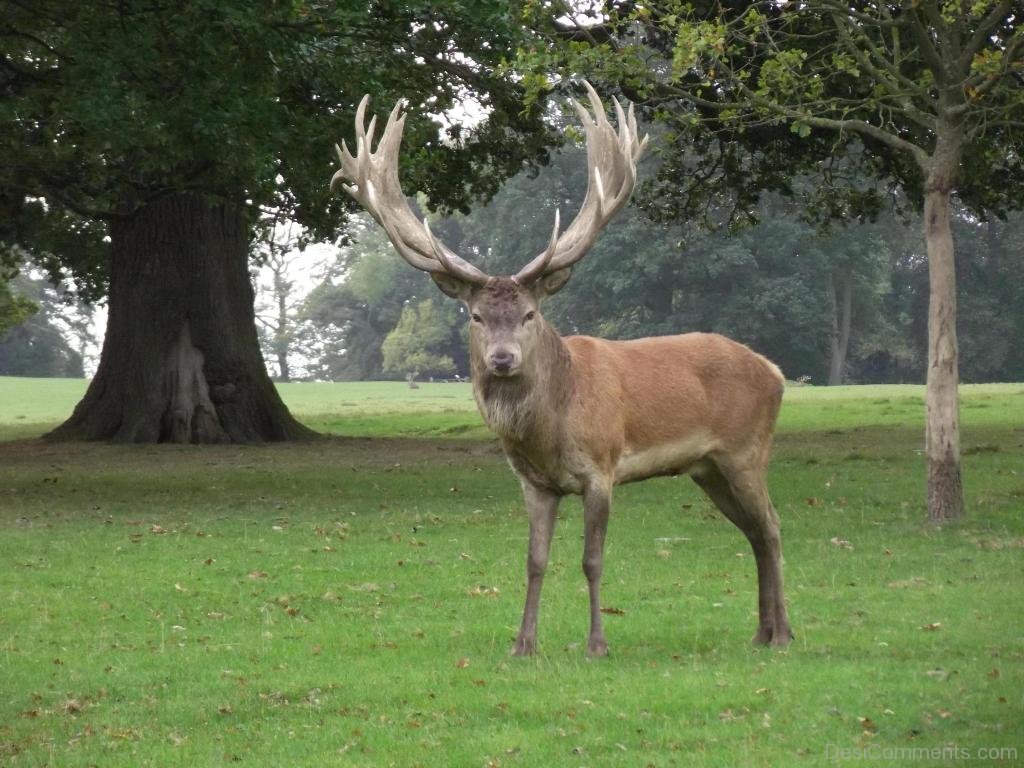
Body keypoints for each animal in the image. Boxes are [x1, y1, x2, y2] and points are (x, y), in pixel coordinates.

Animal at [331, 83, 794, 659]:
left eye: (531, 313)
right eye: (476, 316)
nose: (502, 358)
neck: (549, 430)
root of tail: (775, 372)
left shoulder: (602, 467)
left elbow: (591, 560)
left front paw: (597, 644)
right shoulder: (534, 483)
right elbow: (534, 562)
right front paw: (523, 644)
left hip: (746, 449)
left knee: (771, 526)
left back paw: (784, 634)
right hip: (707, 467)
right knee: (753, 531)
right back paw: (761, 632)